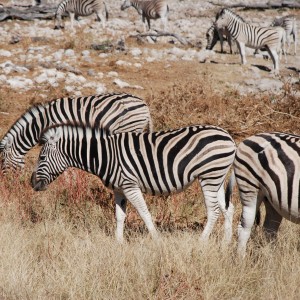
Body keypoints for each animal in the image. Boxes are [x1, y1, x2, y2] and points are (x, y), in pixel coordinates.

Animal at [30, 123, 237, 243]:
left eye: (41, 157)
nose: (32, 183)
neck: (104, 155)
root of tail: (228, 136)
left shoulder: (130, 185)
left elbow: (144, 213)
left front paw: (157, 240)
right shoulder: (119, 189)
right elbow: (120, 216)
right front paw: (119, 243)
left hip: (209, 176)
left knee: (214, 211)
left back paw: (201, 242)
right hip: (216, 179)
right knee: (228, 208)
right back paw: (226, 243)